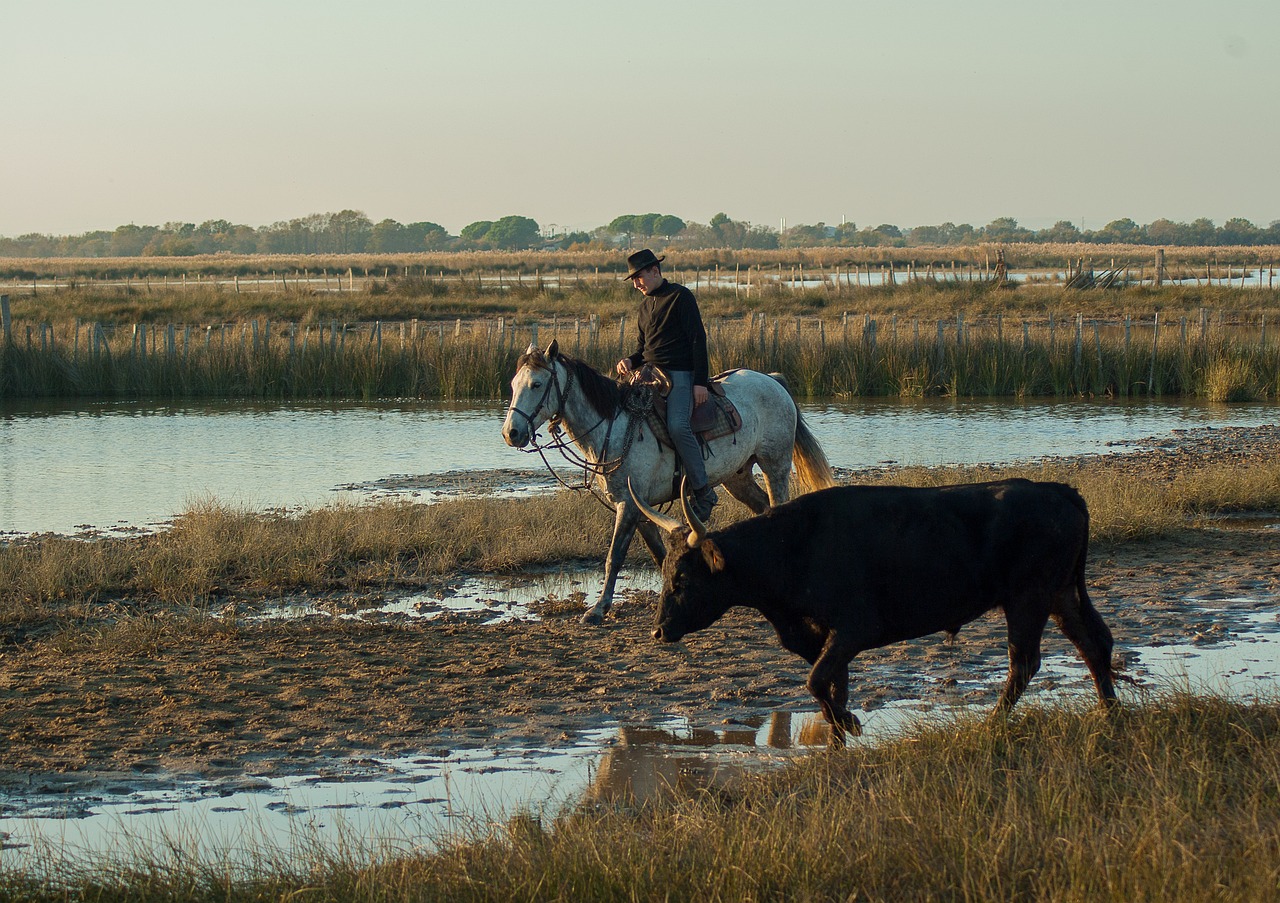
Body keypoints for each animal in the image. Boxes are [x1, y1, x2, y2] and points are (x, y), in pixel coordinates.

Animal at [499, 340, 829, 622]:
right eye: (514, 385)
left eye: (537, 384)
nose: (511, 433)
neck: (616, 426)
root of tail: (771, 380)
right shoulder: (639, 507)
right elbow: (659, 555)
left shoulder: (629, 506)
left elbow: (614, 557)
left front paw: (597, 610)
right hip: (739, 478)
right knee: (761, 509)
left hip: (775, 466)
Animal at [634, 476, 1116, 742]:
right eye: (665, 573)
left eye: (683, 579)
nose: (658, 632)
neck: (794, 546)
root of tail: (1059, 491)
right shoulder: (825, 639)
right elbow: (831, 684)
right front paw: (839, 731)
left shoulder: (855, 628)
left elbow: (815, 681)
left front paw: (849, 724)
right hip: (1060, 595)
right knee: (1095, 641)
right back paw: (1109, 711)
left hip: (1028, 599)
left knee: (1024, 662)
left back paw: (992, 723)